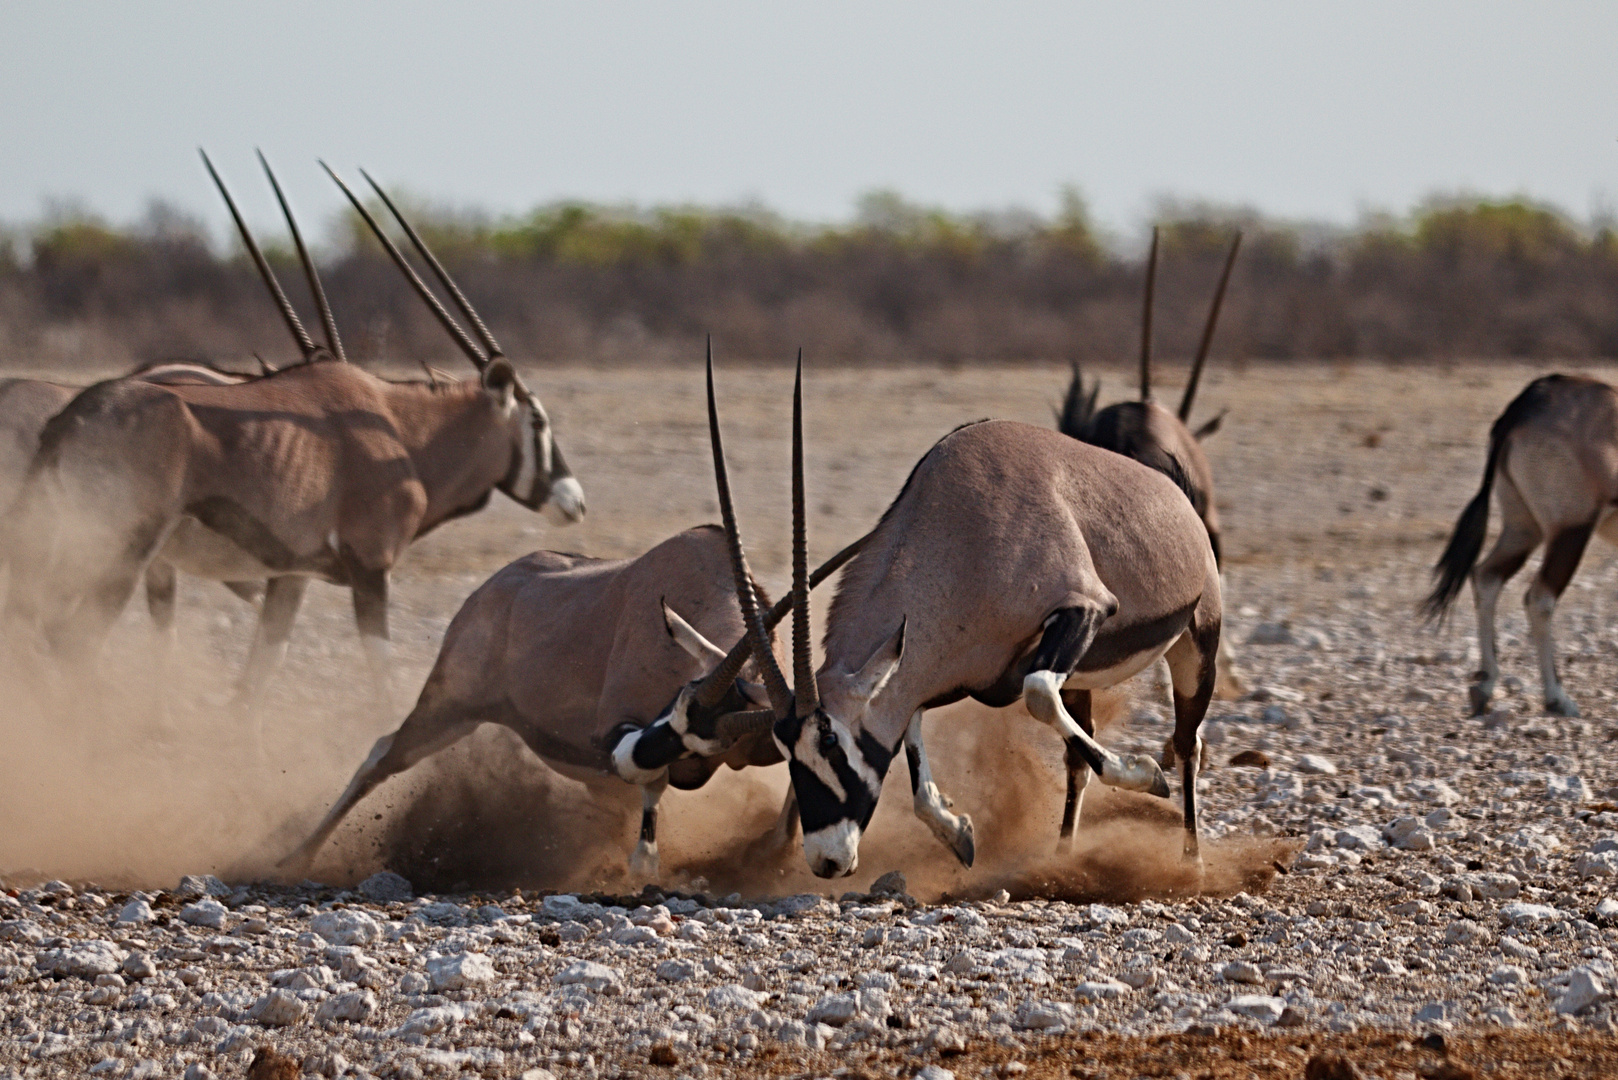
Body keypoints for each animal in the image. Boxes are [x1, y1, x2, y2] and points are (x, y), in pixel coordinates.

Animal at [0, 158, 582, 718]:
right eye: (537, 421)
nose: (574, 500)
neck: (401, 435)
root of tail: (72, 418)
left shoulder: (290, 574)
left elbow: (259, 673)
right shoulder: (370, 568)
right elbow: (382, 679)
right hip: (119, 551)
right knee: (74, 639)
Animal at [715, 359, 1216, 880]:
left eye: (830, 740)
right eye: (785, 750)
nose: (826, 861)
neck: (961, 534)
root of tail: (1172, 489)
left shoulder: (1083, 610)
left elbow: (1038, 694)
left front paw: (1146, 775)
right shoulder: (950, 674)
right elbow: (913, 742)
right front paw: (958, 833)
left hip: (1196, 644)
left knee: (1188, 744)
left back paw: (1192, 859)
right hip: (1082, 676)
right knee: (1077, 759)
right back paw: (1062, 857)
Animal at [1423, 372, 1618, 718]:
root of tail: (1533, 399)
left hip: (1523, 528)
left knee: (1486, 575)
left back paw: (1485, 686)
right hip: (1570, 530)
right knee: (1539, 598)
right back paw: (1557, 698)